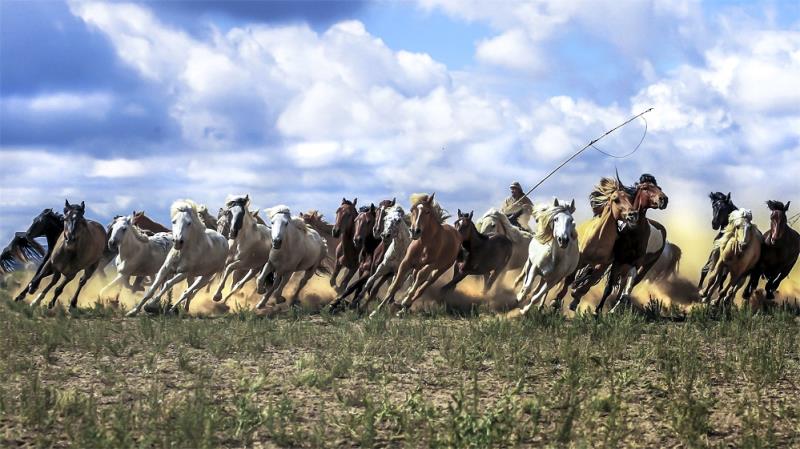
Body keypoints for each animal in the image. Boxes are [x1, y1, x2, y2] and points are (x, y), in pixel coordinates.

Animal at [563, 175, 639, 312]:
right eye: (616, 199)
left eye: (630, 199)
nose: (633, 214)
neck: (599, 239)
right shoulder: (580, 259)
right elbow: (569, 279)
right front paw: (555, 303)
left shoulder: (603, 265)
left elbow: (588, 283)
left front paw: (574, 299)